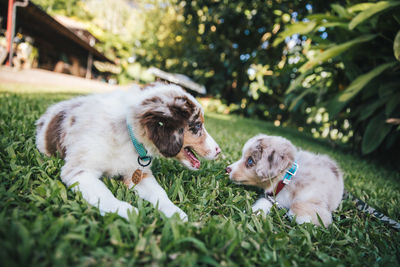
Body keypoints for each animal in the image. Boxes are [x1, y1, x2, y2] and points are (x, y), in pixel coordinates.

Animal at [36, 84, 220, 222]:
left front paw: (174, 212)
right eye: (197, 125)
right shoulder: (79, 170)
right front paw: (126, 211)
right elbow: (104, 194)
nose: (219, 151)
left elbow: (159, 193)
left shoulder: (137, 174)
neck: (126, 133)